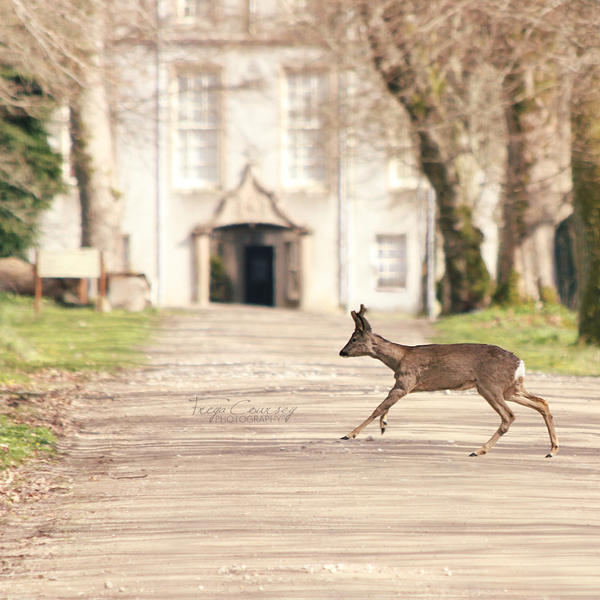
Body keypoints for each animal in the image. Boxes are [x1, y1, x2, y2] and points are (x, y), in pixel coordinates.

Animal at [340, 308, 560, 458]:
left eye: (354, 338)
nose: (342, 352)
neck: (399, 358)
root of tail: (520, 363)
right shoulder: (404, 385)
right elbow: (385, 407)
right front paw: (383, 425)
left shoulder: (406, 381)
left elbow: (378, 407)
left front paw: (350, 434)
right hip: (511, 388)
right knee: (541, 403)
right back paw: (552, 450)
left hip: (490, 386)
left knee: (509, 416)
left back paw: (479, 450)